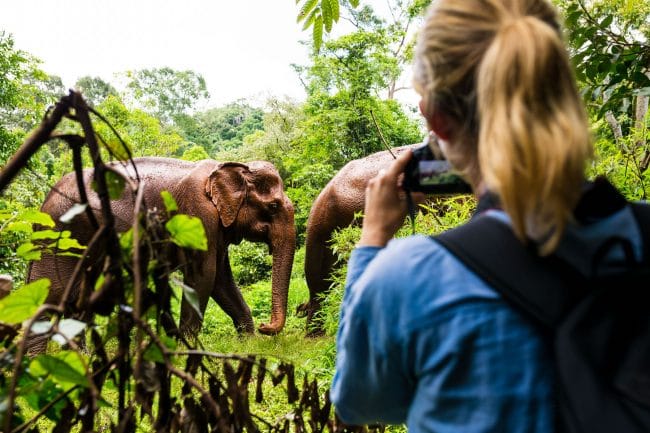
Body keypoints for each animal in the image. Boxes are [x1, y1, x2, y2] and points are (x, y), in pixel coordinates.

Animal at [27, 157, 294, 340]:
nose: (265, 326)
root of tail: (42, 205)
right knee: (49, 296)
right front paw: (187, 349)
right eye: (272, 207)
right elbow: (203, 277)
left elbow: (221, 280)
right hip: (59, 237)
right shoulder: (199, 215)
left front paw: (248, 342)